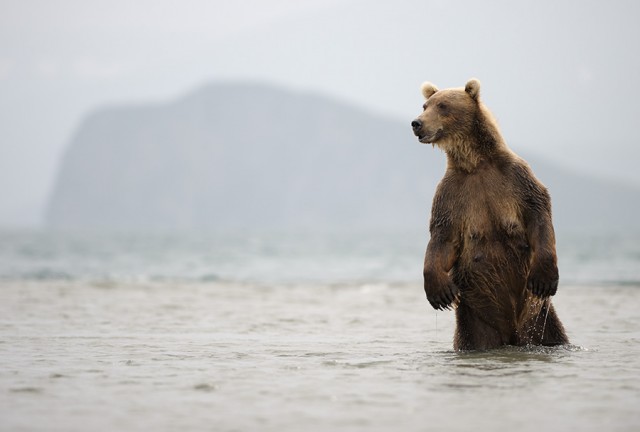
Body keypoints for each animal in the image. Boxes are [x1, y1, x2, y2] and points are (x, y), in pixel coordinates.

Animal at [410, 78, 568, 352]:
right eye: (425, 105)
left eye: (443, 105)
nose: (417, 123)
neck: (476, 163)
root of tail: (512, 333)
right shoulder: (452, 194)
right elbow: (443, 238)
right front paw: (440, 292)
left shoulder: (516, 178)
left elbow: (538, 213)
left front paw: (544, 277)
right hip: (475, 323)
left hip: (540, 320)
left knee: (554, 335)